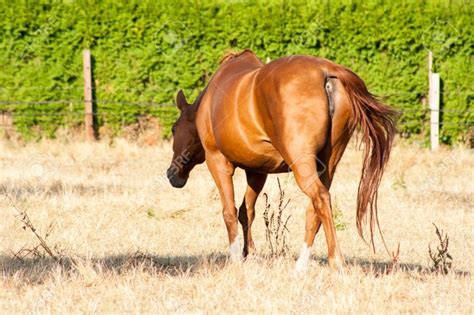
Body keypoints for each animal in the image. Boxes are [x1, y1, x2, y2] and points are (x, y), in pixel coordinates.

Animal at [167, 49, 396, 272]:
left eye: (174, 129)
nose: (171, 174)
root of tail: (327, 71)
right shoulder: (257, 171)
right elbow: (246, 212)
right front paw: (249, 254)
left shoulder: (218, 162)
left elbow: (229, 211)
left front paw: (236, 259)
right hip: (327, 165)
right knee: (315, 208)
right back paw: (301, 266)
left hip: (301, 164)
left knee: (320, 198)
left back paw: (335, 261)